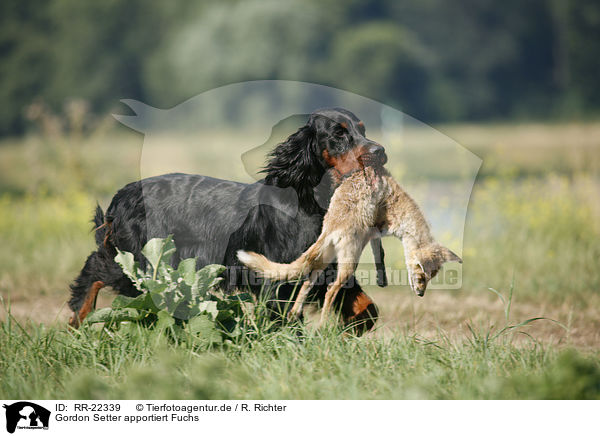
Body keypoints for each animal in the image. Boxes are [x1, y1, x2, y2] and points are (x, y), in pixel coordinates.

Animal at [68, 108, 386, 330]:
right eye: (338, 134)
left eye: (362, 129)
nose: (380, 151)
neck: (309, 200)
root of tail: (124, 194)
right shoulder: (277, 277)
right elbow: (284, 321)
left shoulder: (325, 269)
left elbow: (368, 310)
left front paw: (348, 330)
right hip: (141, 262)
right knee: (97, 266)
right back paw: (79, 315)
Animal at [237, 165, 462, 326]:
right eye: (422, 276)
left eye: (430, 278)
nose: (421, 294)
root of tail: (332, 226)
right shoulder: (377, 227)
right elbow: (380, 252)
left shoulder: (375, 234)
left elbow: (380, 255)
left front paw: (382, 278)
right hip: (349, 263)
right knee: (330, 290)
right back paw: (322, 326)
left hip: (325, 259)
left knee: (307, 282)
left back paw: (295, 312)